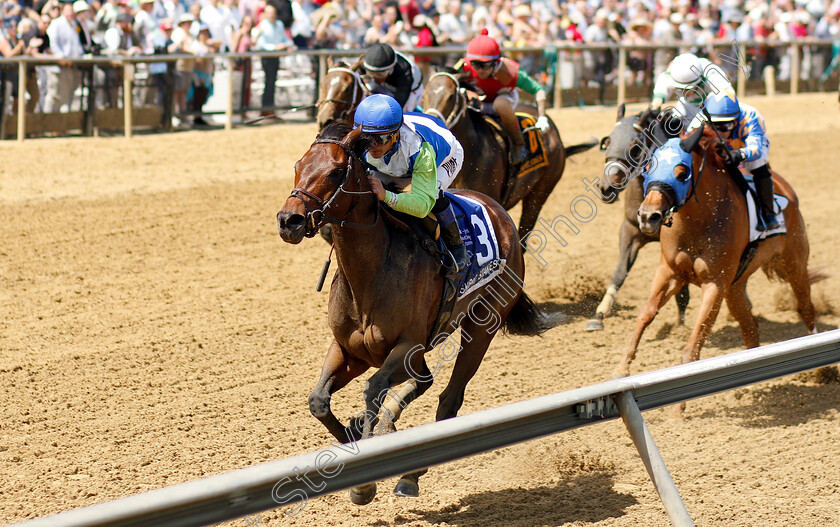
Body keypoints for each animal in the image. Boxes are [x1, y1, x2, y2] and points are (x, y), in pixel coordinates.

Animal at [272, 121, 556, 506]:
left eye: (334, 171)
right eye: (298, 165)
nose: (289, 220)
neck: (371, 272)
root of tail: (500, 213)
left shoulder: (407, 346)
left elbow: (374, 389)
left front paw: (365, 479)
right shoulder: (349, 349)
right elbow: (318, 401)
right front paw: (356, 438)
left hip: (481, 325)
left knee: (449, 399)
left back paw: (411, 475)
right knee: (425, 381)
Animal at [584, 104, 688, 332]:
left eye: (635, 148)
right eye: (608, 142)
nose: (606, 188)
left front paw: (681, 324)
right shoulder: (630, 230)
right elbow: (620, 272)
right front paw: (599, 314)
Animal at [612, 125, 816, 416]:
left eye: (682, 172)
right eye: (650, 165)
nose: (648, 216)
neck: (700, 219)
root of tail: (785, 188)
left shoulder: (715, 284)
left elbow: (696, 339)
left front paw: (678, 409)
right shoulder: (669, 272)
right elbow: (645, 315)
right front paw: (620, 371)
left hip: (794, 263)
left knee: (806, 308)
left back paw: (819, 365)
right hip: (736, 287)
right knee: (750, 327)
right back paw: (748, 385)